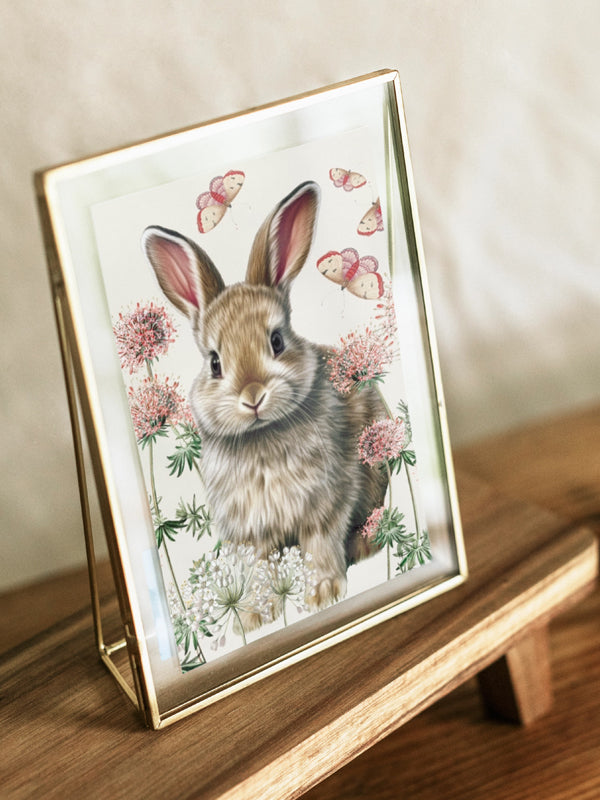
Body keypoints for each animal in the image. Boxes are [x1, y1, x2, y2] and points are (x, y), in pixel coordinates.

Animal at [142, 181, 388, 612]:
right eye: (215, 363)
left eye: (276, 341)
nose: (253, 395)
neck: (262, 437)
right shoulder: (252, 533)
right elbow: (258, 571)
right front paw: (258, 614)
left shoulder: (327, 500)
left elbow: (321, 545)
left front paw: (323, 593)